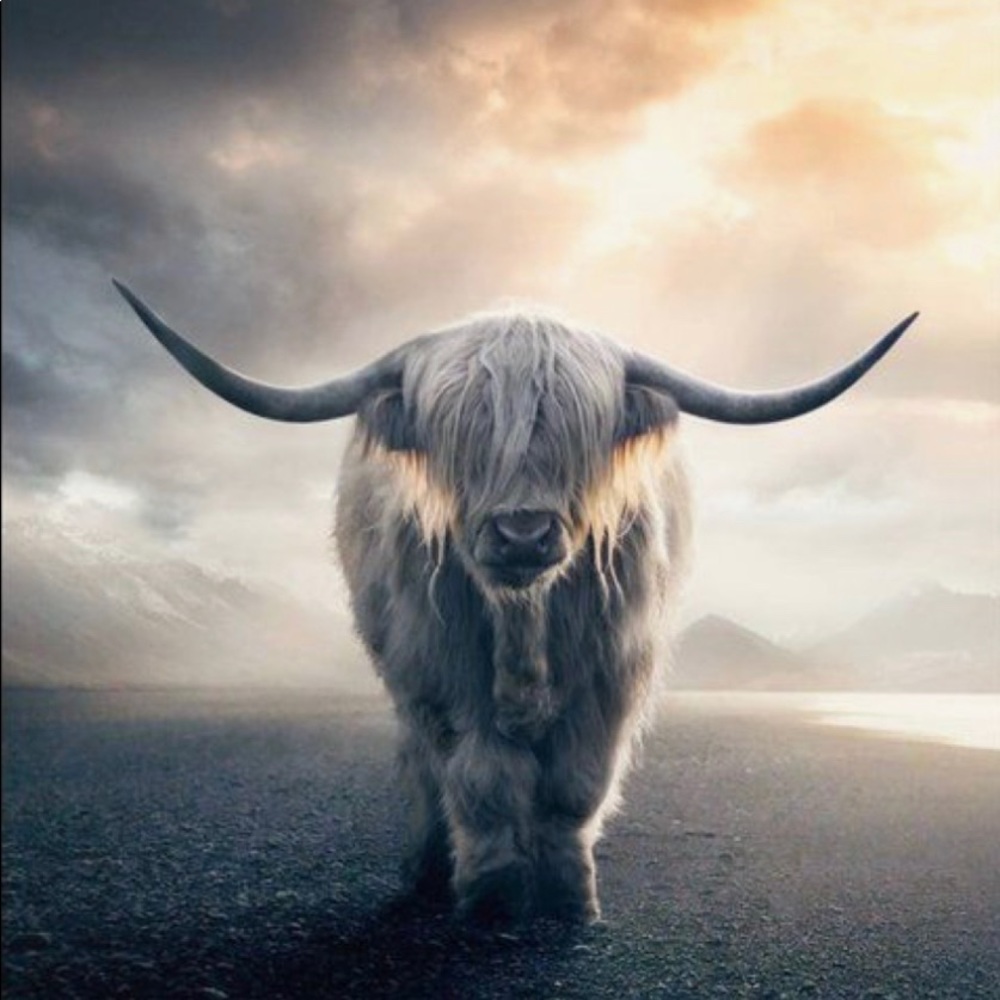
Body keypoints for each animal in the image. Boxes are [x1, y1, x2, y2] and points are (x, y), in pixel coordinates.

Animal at [114, 280, 916, 924]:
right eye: (463, 442)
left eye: (576, 439)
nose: (522, 532)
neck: (523, 617)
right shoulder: (439, 670)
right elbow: (482, 780)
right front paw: (493, 898)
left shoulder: (614, 670)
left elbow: (574, 782)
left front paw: (567, 900)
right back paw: (427, 871)